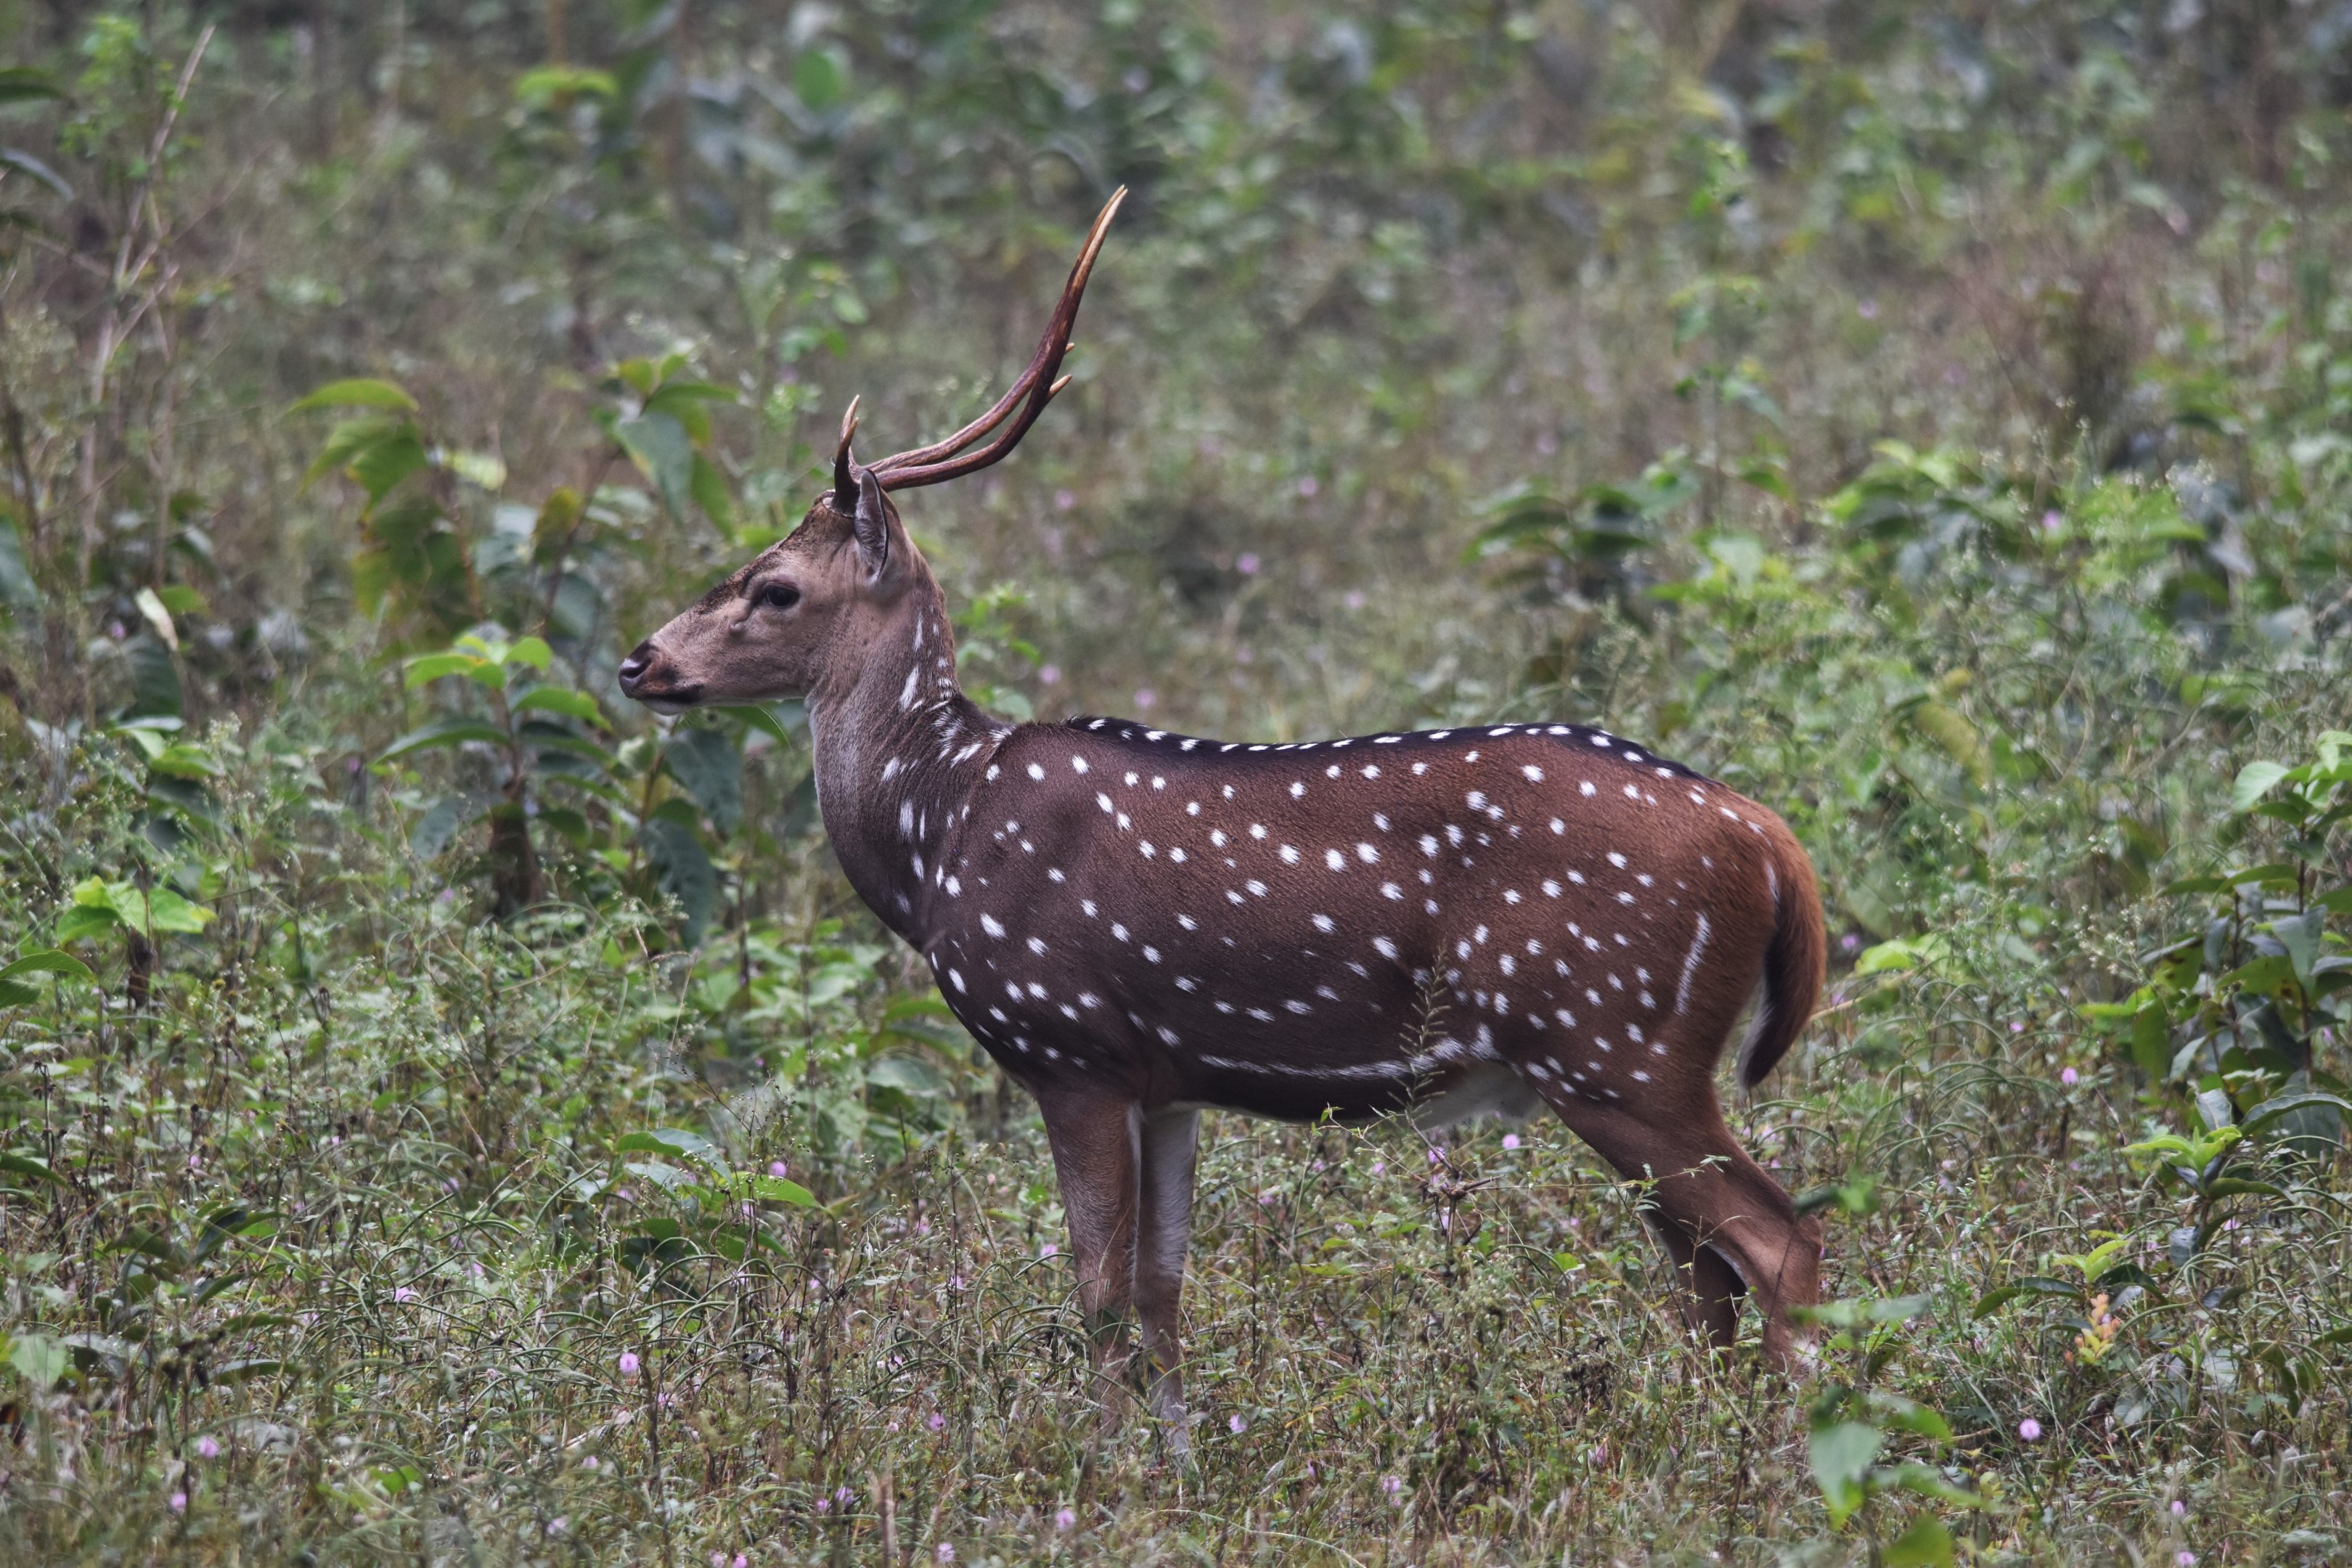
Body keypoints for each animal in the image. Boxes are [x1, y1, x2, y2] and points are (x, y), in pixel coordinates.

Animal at [617, 189, 1827, 1439]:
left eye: (774, 586)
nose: (640, 662)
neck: (937, 831)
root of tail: (1766, 841)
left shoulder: (1070, 1045)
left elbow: (1098, 1293)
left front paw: (1099, 1463)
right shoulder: (1170, 1081)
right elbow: (1163, 1291)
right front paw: (1178, 1455)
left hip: (1617, 1042)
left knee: (1779, 1246)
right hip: (1622, 1064)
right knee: (1704, 1271)